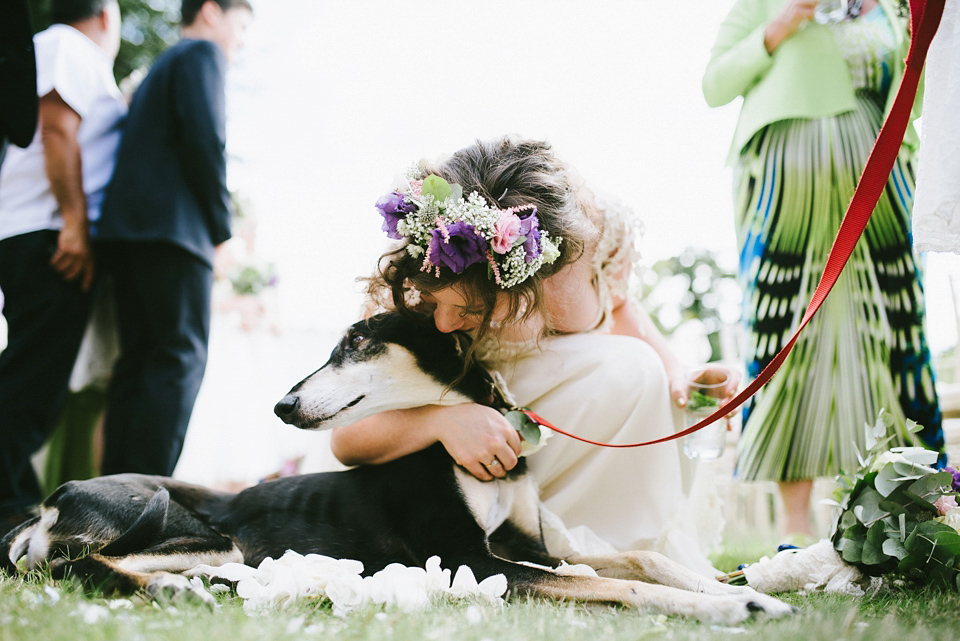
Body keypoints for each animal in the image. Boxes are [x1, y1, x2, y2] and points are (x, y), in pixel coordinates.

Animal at [0, 312, 796, 624]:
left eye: (356, 341)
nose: (282, 404)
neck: (464, 450)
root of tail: (48, 501)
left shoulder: (528, 544)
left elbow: (638, 560)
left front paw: (742, 586)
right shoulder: (478, 560)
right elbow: (618, 585)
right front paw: (731, 608)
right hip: (184, 524)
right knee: (81, 566)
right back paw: (181, 590)